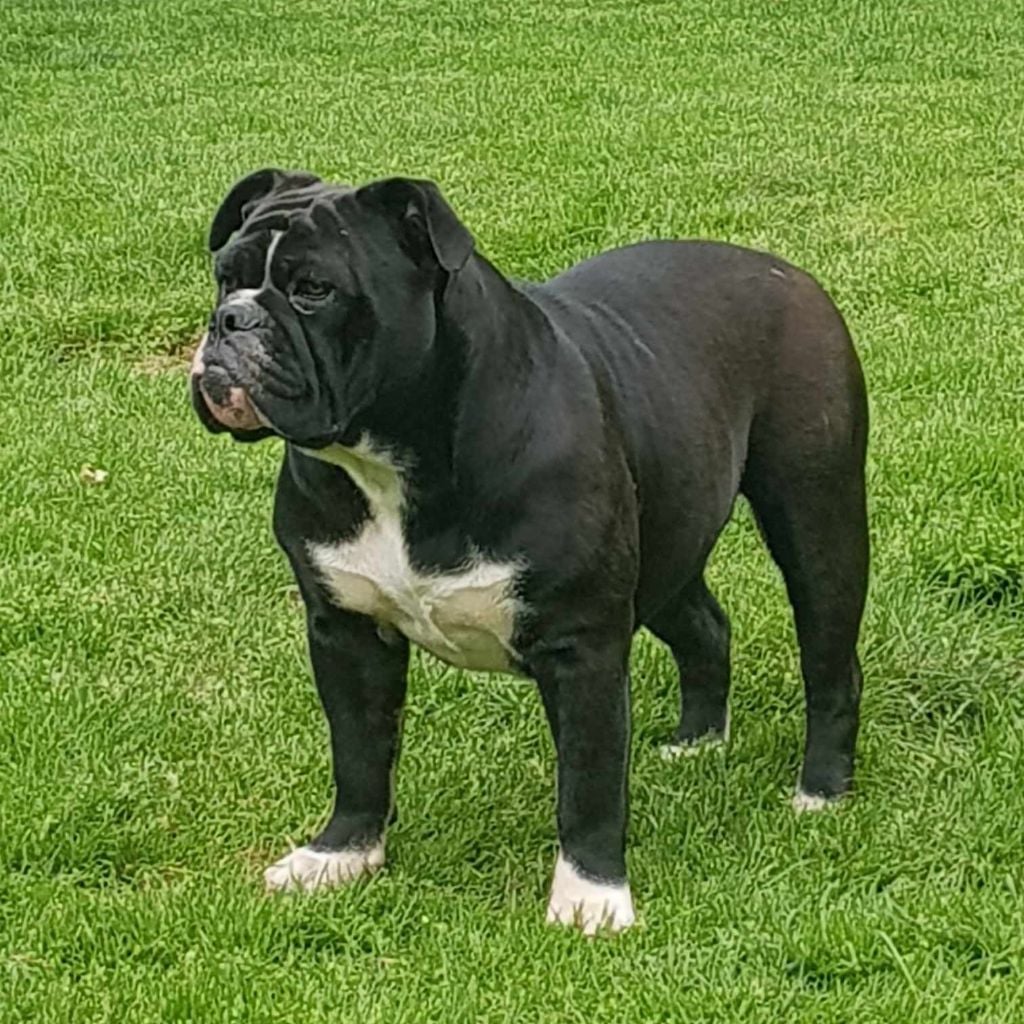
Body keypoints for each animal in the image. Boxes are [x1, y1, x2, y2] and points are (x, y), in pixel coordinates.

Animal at [190, 169, 869, 934]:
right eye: (225, 277)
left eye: (314, 289)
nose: (230, 321)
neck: (394, 456)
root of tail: (786, 272)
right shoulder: (347, 632)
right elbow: (358, 753)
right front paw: (341, 855)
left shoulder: (583, 647)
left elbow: (589, 782)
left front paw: (591, 898)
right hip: (666, 548)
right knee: (705, 626)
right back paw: (697, 741)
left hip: (817, 521)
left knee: (830, 663)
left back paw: (820, 792)